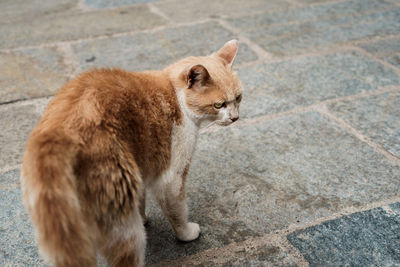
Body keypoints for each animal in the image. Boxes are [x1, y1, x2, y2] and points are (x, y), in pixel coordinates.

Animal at [21, 39, 241, 267]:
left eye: (238, 98)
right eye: (219, 105)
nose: (235, 117)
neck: (175, 94)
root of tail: (60, 129)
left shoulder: (142, 165)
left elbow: (142, 198)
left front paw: (143, 217)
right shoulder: (171, 178)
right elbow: (177, 210)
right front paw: (186, 233)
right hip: (122, 217)